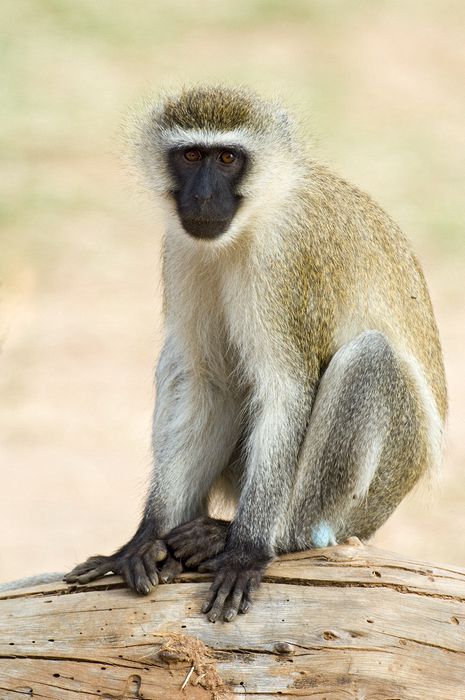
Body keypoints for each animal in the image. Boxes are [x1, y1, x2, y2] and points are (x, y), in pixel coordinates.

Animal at [65, 85, 447, 623]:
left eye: (228, 158)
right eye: (191, 156)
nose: (203, 196)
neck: (252, 221)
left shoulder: (286, 260)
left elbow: (286, 389)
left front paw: (246, 549)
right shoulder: (182, 249)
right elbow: (206, 381)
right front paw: (143, 540)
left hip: (380, 489)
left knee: (371, 360)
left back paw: (270, 536)